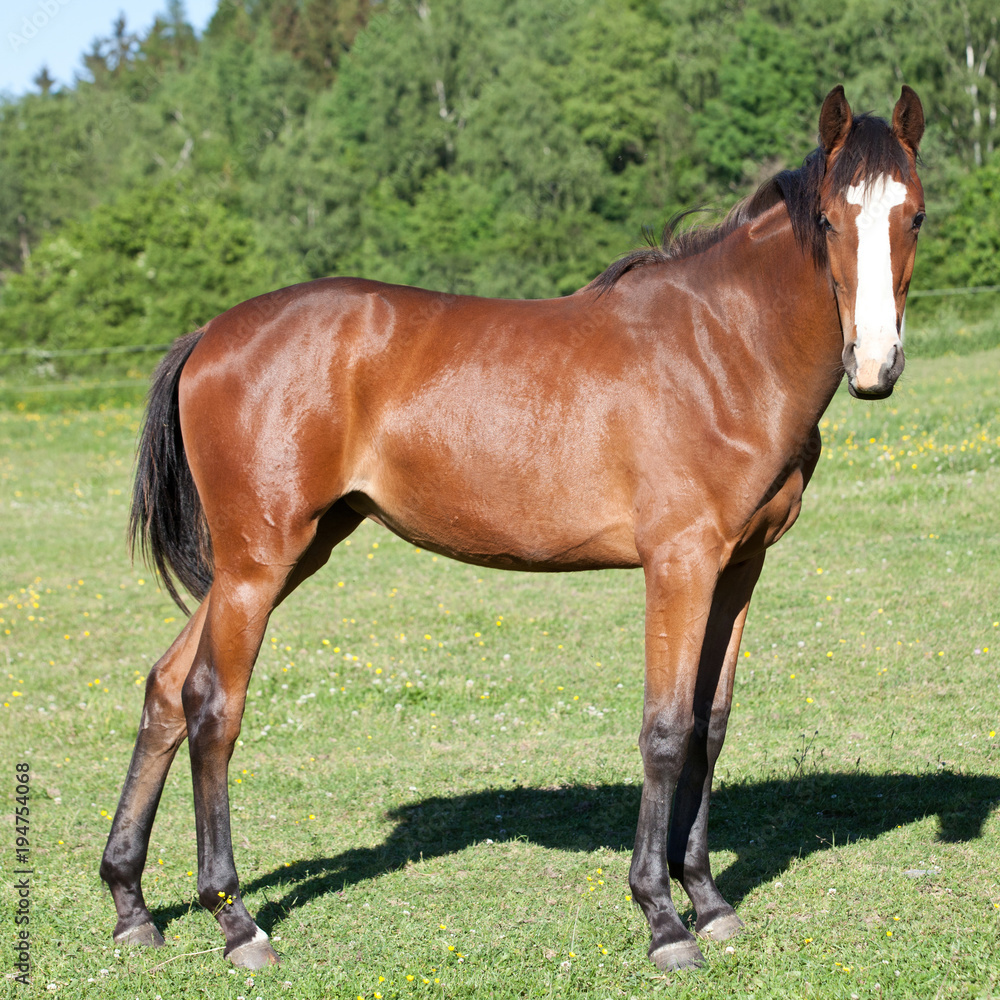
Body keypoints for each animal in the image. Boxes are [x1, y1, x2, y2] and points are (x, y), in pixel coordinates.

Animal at [100, 85, 925, 972]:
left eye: (914, 216)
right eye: (830, 222)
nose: (874, 365)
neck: (723, 350)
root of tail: (209, 336)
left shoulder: (739, 569)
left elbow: (711, 726)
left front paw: (708, 900)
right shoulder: (680, 563)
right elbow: (666, 731)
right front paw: (663, 919)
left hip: (284, 557)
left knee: (166, 689)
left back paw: (131, 905)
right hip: (258, 563)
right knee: (214, 706)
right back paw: (237, 922)